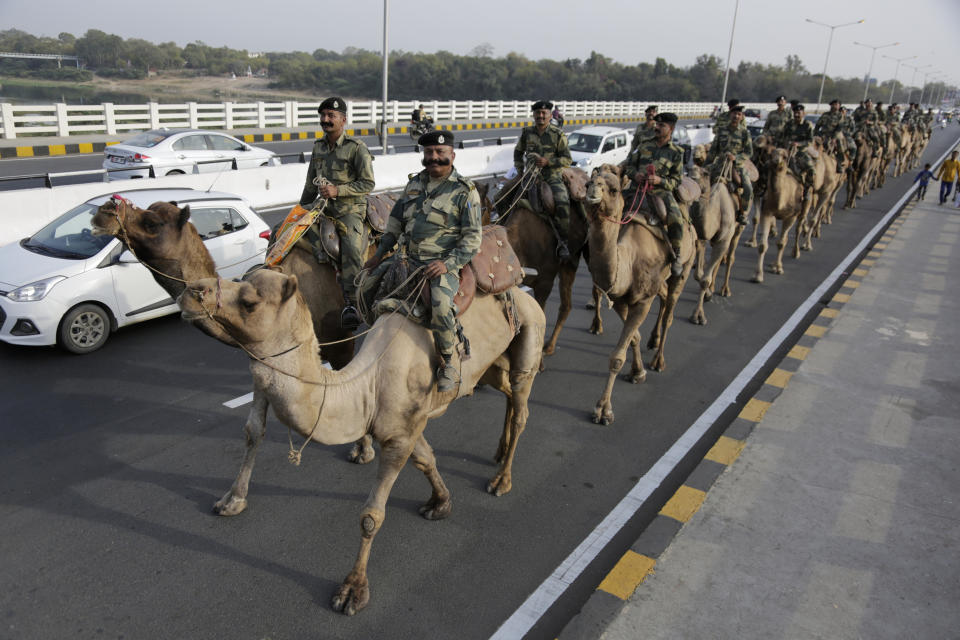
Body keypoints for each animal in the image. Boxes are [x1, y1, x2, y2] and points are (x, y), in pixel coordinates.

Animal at [176, 266, 544, 616]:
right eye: (239, 279)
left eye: (250, 302)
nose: (191, 291)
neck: (367, 385)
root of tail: (522, 289)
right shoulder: (407, 426)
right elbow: (426, 458)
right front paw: (440, 503)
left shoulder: (399, 436)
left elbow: (371, 516)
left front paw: (352, 591)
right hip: (492, 366)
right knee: (506, 390)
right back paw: (498, 450)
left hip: (530, 334)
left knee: (522, 401)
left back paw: (501, 479)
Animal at [580, 165, 692, 424]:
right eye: (588, 182)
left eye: (613, 189)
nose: (592, 193)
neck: (628, 261)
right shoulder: (621, 299)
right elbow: (633, 337)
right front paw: (637, 372)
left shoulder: (642, 301)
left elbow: (616, 357)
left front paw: (603, 410)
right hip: (659, 281)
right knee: (663, 299)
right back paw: (653, 340)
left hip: (686, 265)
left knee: (670, 309)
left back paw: (659, 360)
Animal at [688, 165, 740, 324]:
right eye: (687, 170)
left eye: (705, 173)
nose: (692, 172)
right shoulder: (701, 238)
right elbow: (698, 275)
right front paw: (708, 294)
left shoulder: (723, 240)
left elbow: (704, 279)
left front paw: (698, 316)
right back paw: (712, 288)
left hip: (737, 231)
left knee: (730, 258)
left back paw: (725, 290)